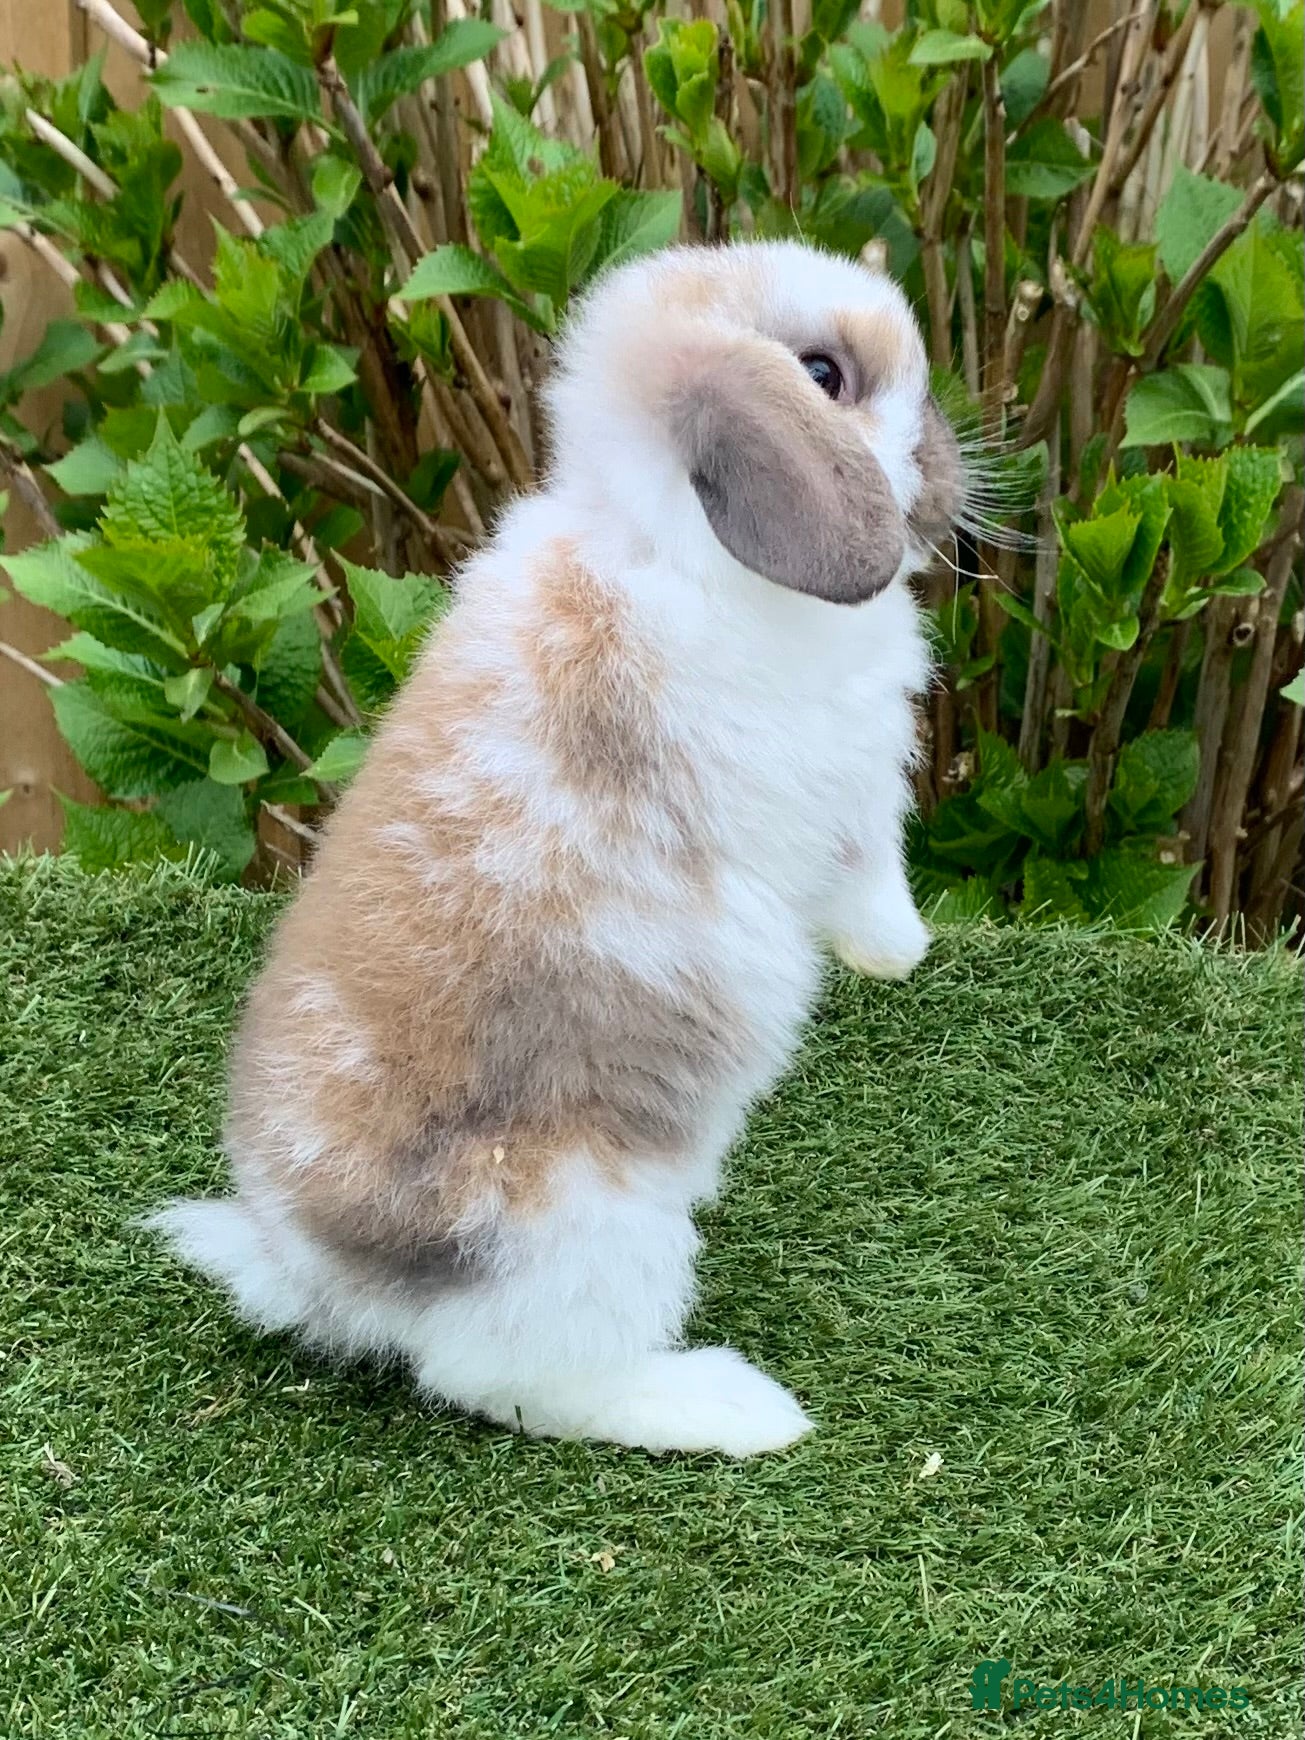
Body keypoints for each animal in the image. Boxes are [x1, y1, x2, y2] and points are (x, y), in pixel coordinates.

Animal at [150, 239, 965, 1457]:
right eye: (824, 375)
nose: (947, 468)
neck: (672, 542)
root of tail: (329, 1273)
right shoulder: (847, 793)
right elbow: (870, 874)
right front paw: (899, 953)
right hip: (591, 1228)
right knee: (510, 1384)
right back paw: (734, 1408)